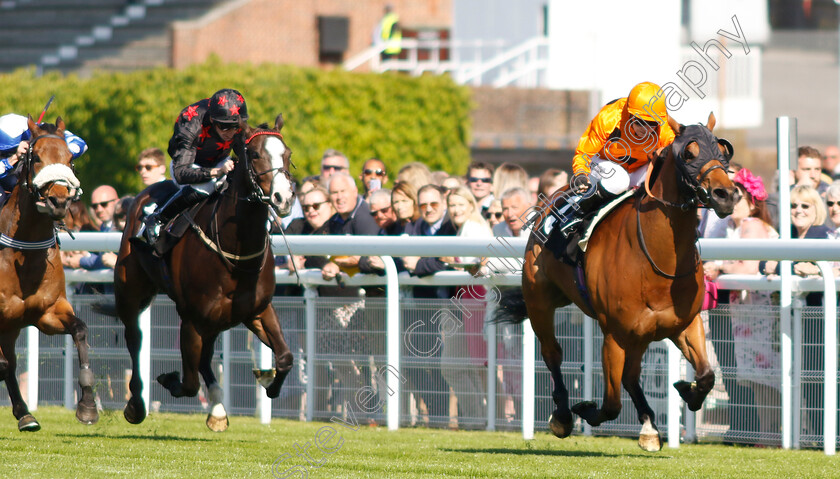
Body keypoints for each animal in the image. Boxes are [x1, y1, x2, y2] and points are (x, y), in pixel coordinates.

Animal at [0, 119, 97, 432]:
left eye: (70, 160)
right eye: (37, 158)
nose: (58, 201)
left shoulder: (47, 312)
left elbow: (81, 331)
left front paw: (87, 406)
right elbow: (3, 364)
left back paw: (25, 414)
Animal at [111, 115, 296, 432]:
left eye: (287, 154)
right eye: (255, 154)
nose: (283, 198)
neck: (235, 253)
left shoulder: (257, 310)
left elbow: (285, 357)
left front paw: (269, 383)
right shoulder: (191, 319)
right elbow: (187, 382)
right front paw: (168, 379)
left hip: (215, 320)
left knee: (206, 357)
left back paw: (218, 409)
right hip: (131, 292)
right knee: (135, 339)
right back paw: (136, 405)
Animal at [496, 114, 740, 452]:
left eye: (722, 150)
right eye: (688, 154)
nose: (725, 195)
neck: (656, 257)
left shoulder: (684, 324)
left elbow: (706, 375)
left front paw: (685, 390)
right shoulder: (614, 334)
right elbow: (611, 403)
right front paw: (584, 410)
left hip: (638, 335)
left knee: (631, 377)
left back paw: (649, 426)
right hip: (539, 299)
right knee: (553, 353)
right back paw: (562, 415)